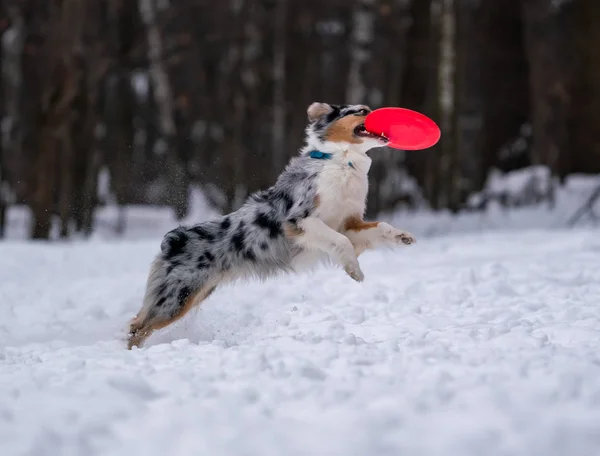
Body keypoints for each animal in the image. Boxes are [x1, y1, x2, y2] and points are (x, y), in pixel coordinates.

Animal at [125, 100, 418, 350]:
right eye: (359, 111)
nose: (384, 114)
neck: (341, 160)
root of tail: (173, 240)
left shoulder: (348, 222)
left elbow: (378, 227)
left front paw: (402, 237)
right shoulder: (300, 219)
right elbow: (340, 242)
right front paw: (353, 270)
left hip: (195, 292)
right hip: (176, 297)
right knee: (137, 327)